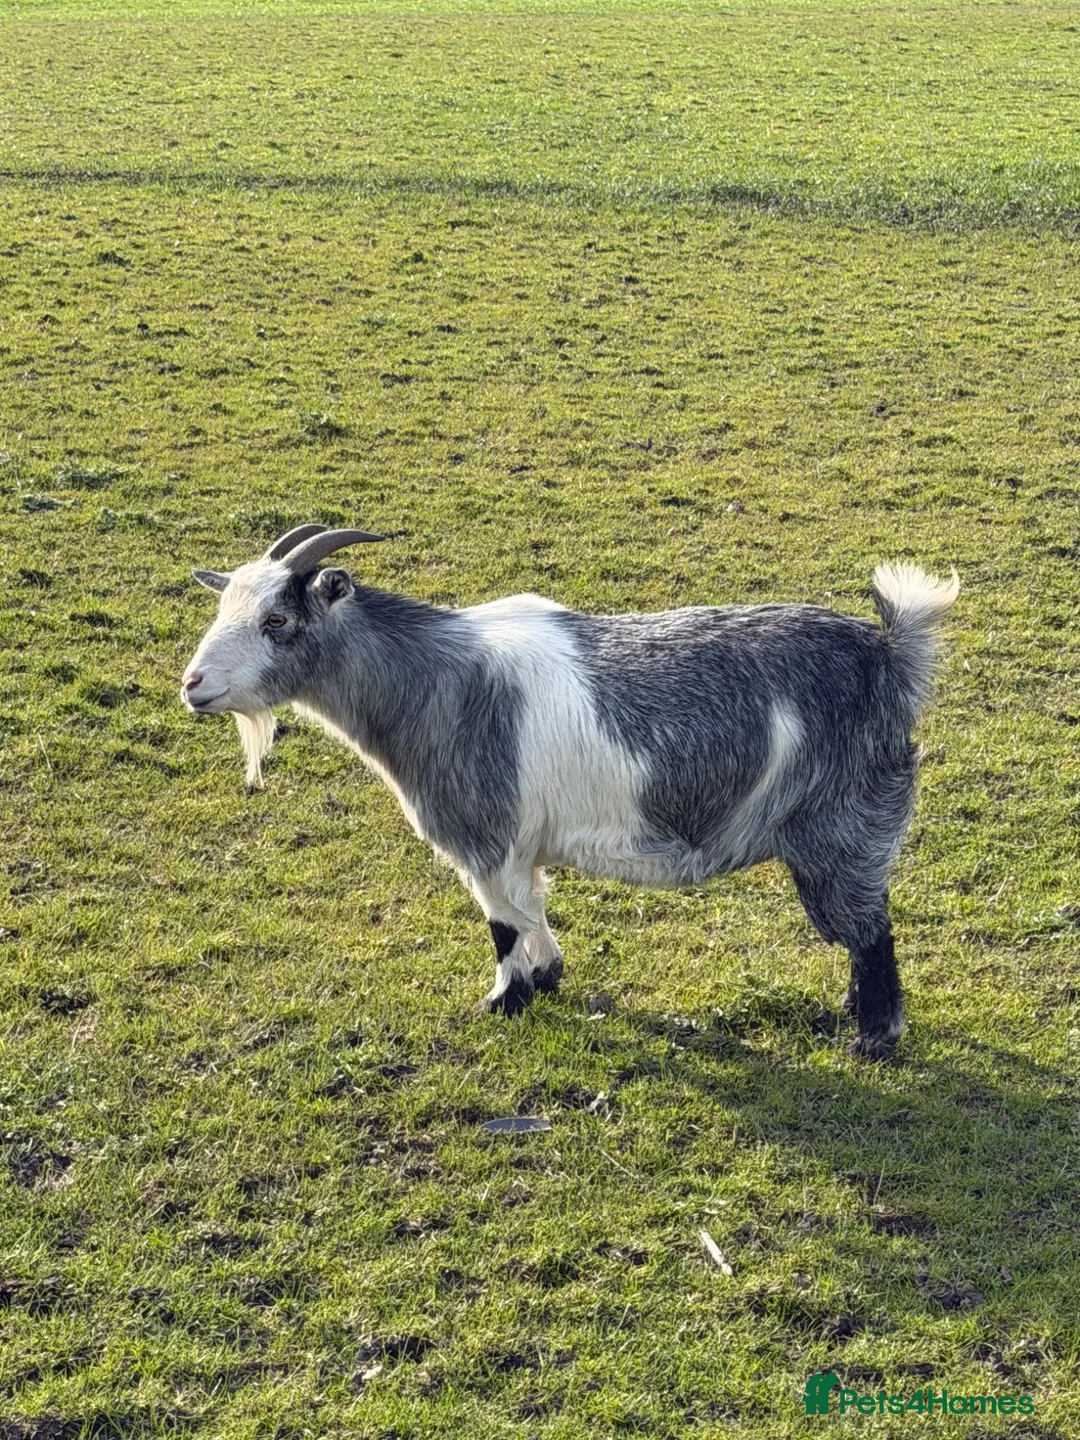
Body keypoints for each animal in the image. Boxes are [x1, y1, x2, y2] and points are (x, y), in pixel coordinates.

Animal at [181, 524, 958, 1059]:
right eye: (223, 611)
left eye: (277, 620)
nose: (193, 684)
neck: (434, 679)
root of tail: (890, 655)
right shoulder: (518, 846)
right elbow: (530, 910)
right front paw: (548, 977)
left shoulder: (485, 836)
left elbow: (502, 922)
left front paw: (505, 1000)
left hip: (841, 834)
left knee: (869, 932)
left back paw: (873, 1039)